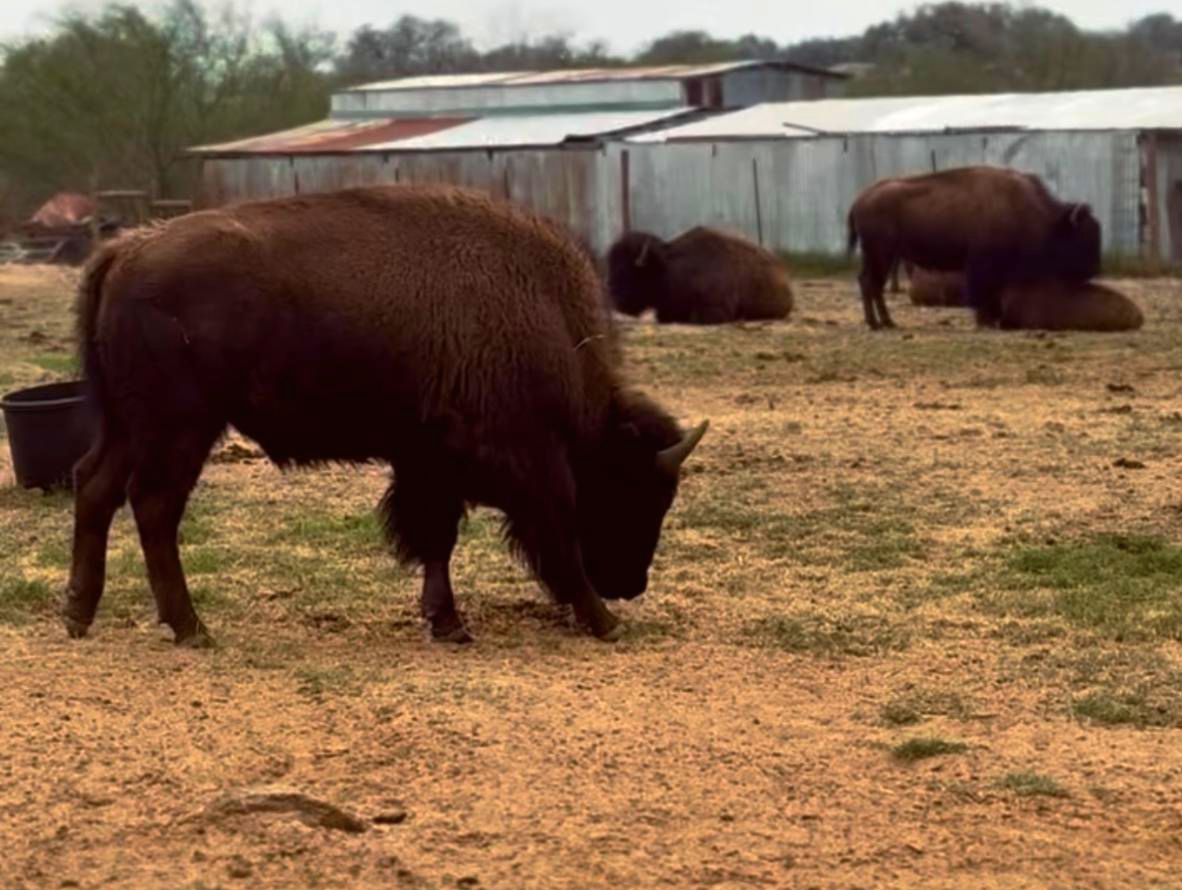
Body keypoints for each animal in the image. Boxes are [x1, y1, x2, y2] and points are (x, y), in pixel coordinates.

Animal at [65, 185, 708, 646]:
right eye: (630, 491)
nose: (630, 585)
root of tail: (125, 251)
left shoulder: (427, 463)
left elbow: (437, 540)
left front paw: (447, 624)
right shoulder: (528, 468)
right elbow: (555, 540)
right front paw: (603, 623)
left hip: (126, 426)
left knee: (95, 488)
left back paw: (79, 614)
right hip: (178, 429)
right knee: (153, 506)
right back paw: (191, 629)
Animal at [847, 166, 1101, 329]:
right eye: (1083, 238)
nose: (1092, 270)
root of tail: (861, 199)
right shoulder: (981, 265)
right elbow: (982, 292)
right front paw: (986, 321)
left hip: (880, 255)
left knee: (868, 283)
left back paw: (883, 322)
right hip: (881, 254)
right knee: (872, 283)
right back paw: (880, 323)